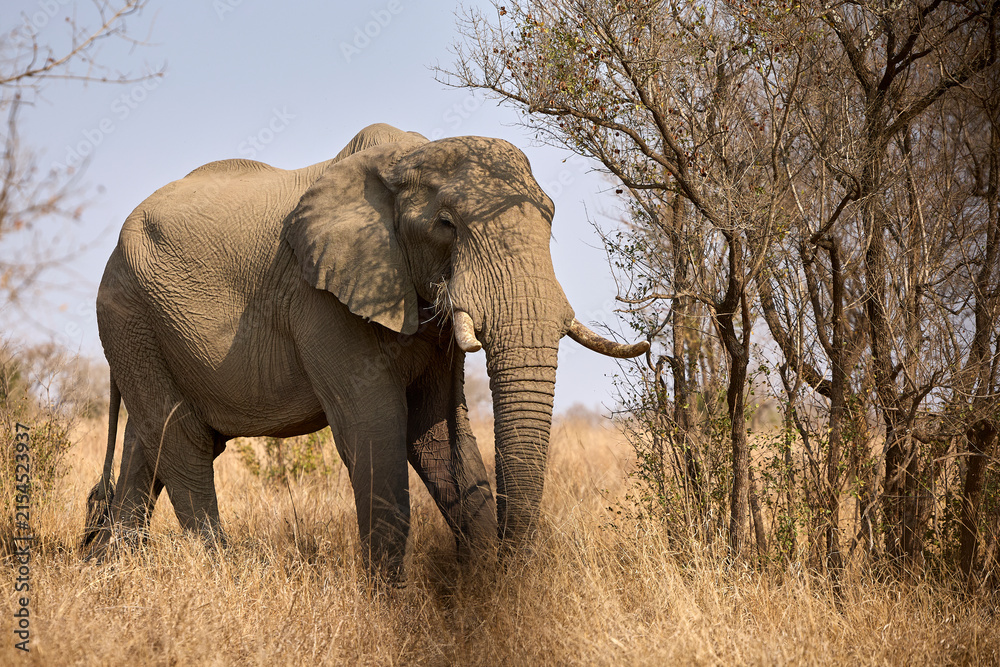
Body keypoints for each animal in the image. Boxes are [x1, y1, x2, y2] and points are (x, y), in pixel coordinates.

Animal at [83, 123, 648, 582]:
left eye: (550, 217)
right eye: (446, 224)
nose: (515, 574)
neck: (408, 158)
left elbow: (435, 433)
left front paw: (485, 593)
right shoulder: (322, 300)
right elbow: (373, 427)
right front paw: (391, 609)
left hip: (143, 332)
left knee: (148, 444)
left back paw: (111, 574)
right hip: (129, 314)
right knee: (185, 442)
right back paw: (222, 577)